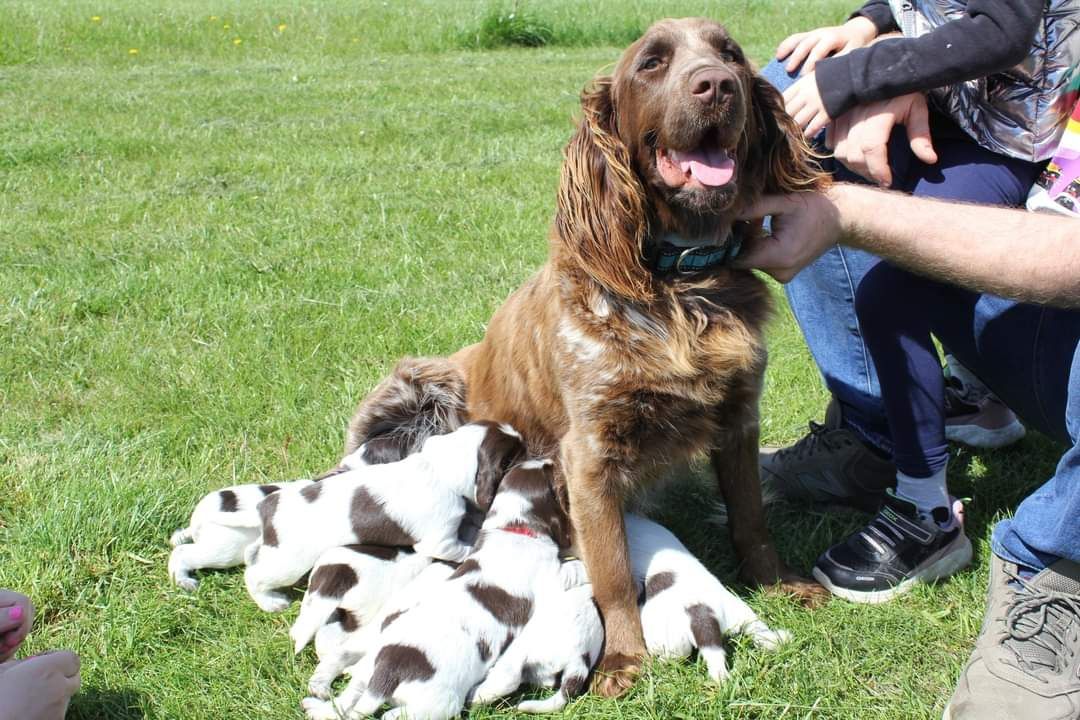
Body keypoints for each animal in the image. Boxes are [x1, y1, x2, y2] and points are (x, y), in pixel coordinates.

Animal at [245, 423, 522, 613]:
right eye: (514, 454)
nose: (531, 450)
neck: (437, 468)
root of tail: (267, 506)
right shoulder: (440, 541)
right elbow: (463, 549)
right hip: (288, 563)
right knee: (254, 577)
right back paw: (271, 602)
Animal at [300, 462, 587, 720]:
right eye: (547, 472)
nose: (551, 461)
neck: (513, 528)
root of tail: (388, 673)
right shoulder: (552, 574)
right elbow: (574, 569)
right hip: (438, 705)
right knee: (390, 715)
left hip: (368, 663)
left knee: (346, 691)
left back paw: (317, 702)